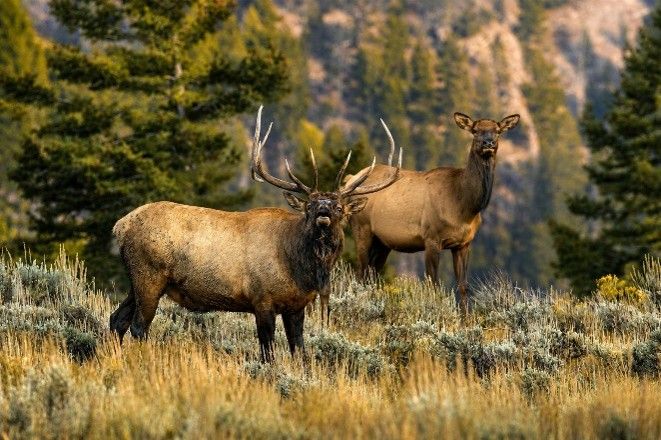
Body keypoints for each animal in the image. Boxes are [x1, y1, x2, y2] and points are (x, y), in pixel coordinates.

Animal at [109, 106, 402, 361]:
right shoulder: (262, 299)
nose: (323, 212)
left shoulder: (296, 305)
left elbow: (299, 350)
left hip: (137, 280)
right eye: (308, 205)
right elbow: (267, 352)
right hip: (149, 275)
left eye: (339, 207)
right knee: (138, 326)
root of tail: (120, 225)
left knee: (116, 319)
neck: (300, 269)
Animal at [348, 112, 520, 313]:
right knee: (360, 272)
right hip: (361, 227)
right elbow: (433, 284)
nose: (488, 143)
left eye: (498, 131)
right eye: (475, 130)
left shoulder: (464, 243)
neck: (463, 208)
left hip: (383, 242)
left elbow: (463, 285)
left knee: (372, 274)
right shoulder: (431, 238)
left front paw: (466, 316)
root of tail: (349, 179)